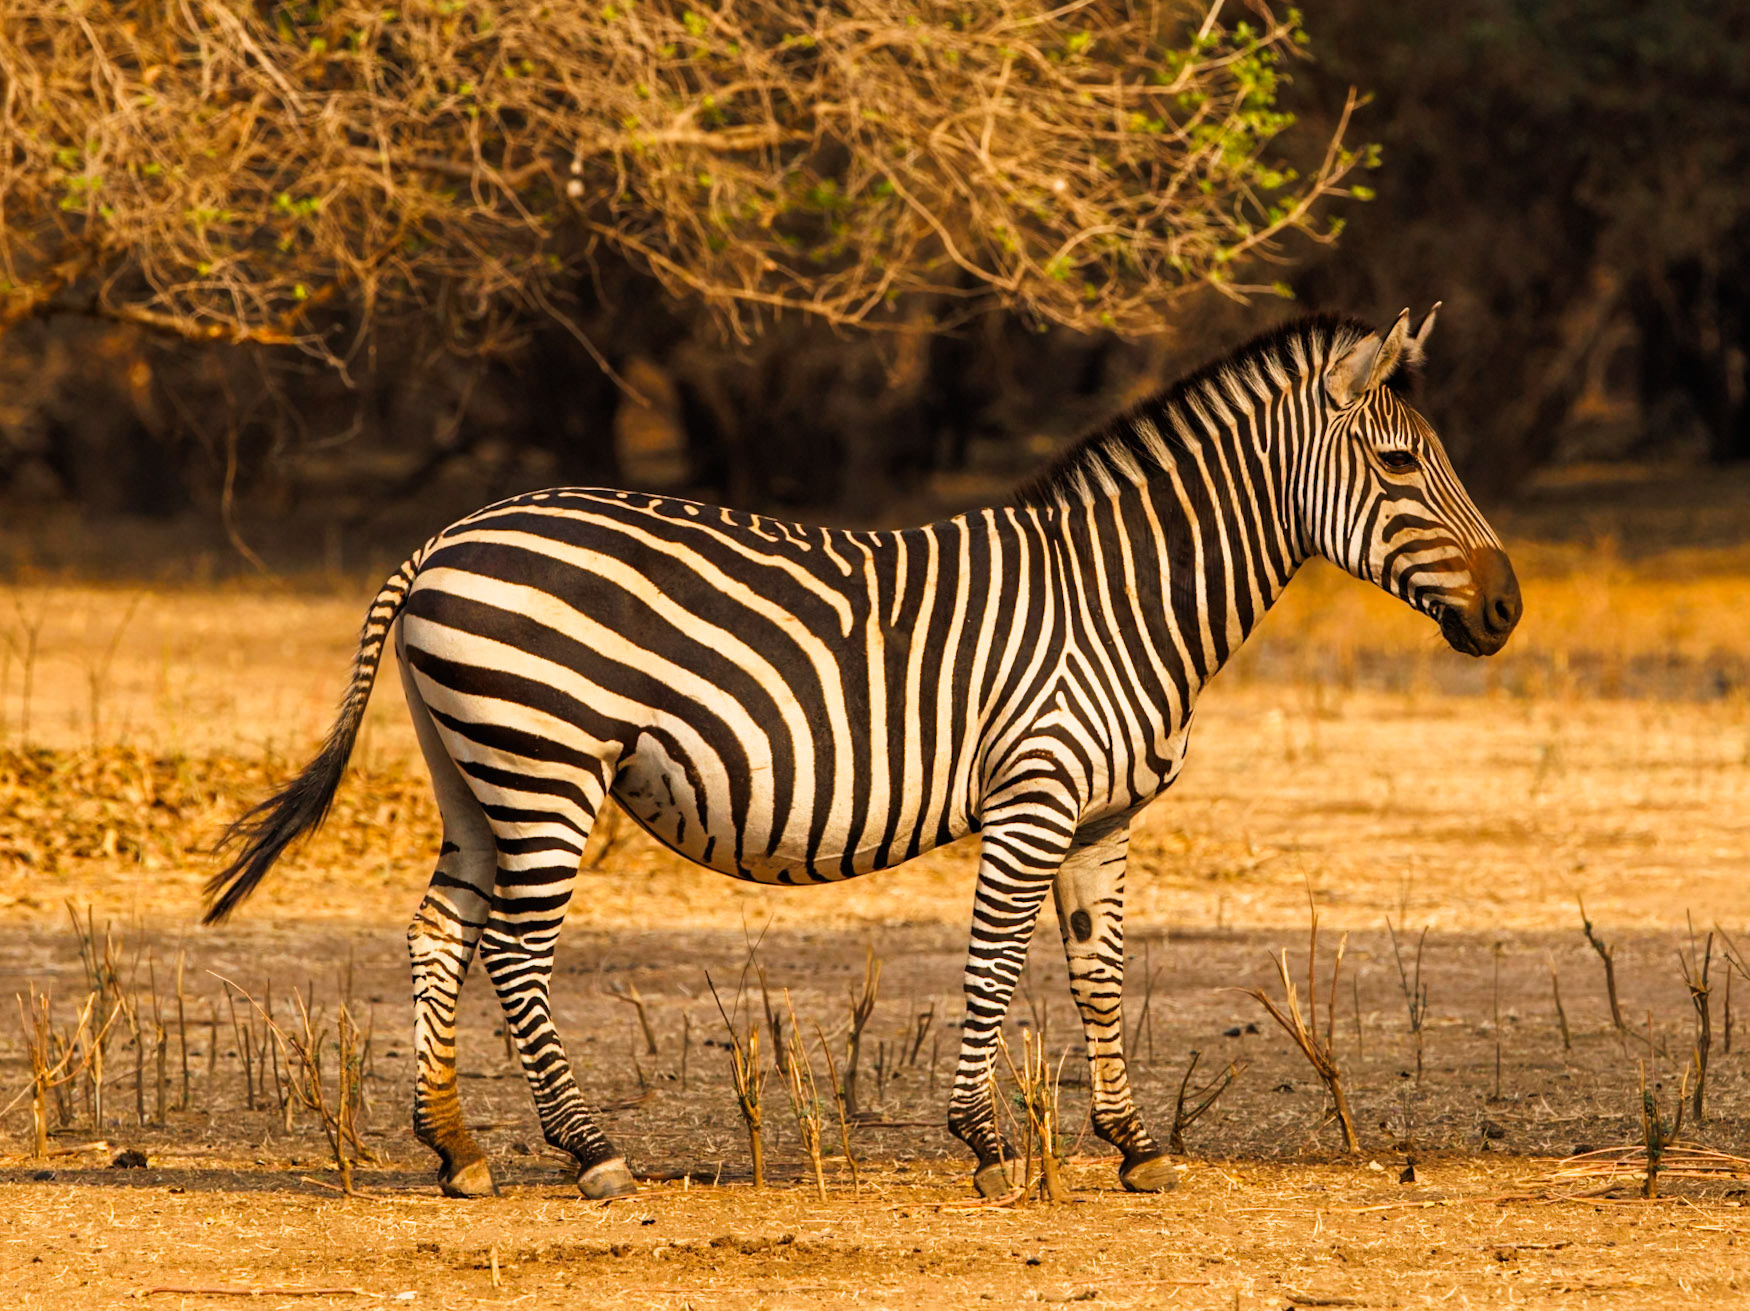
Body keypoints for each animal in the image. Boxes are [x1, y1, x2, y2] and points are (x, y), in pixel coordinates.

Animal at [208, 306, 1521, 1201]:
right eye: (1399, 466)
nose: (1507, 611)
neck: (1120, 600)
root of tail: (444, 536)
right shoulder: (1034, 795)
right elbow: (994, 968)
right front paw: (986, 1146)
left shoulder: (1103, 818)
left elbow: (1099, 977)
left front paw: (1136, 1148)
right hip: (546, 764)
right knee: (516, 956)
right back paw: (591, 1154)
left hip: (474, 766)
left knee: (439, 933)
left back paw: (456, 1148)